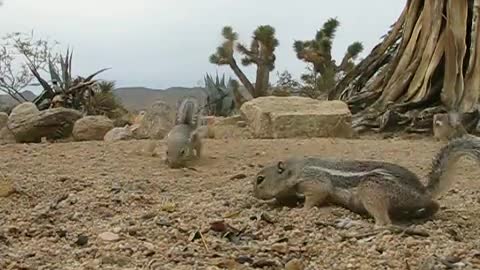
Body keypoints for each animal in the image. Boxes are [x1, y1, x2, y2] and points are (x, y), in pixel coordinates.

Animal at [251, 135, 480, 228]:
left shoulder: (314, 181)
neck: (297, 168)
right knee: (434, 205)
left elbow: (317, 195)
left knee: (383, 224)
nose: (254, 195)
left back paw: (356, 224)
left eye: (260, 179)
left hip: (371, 190)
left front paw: (301, 210)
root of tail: (423, 191)